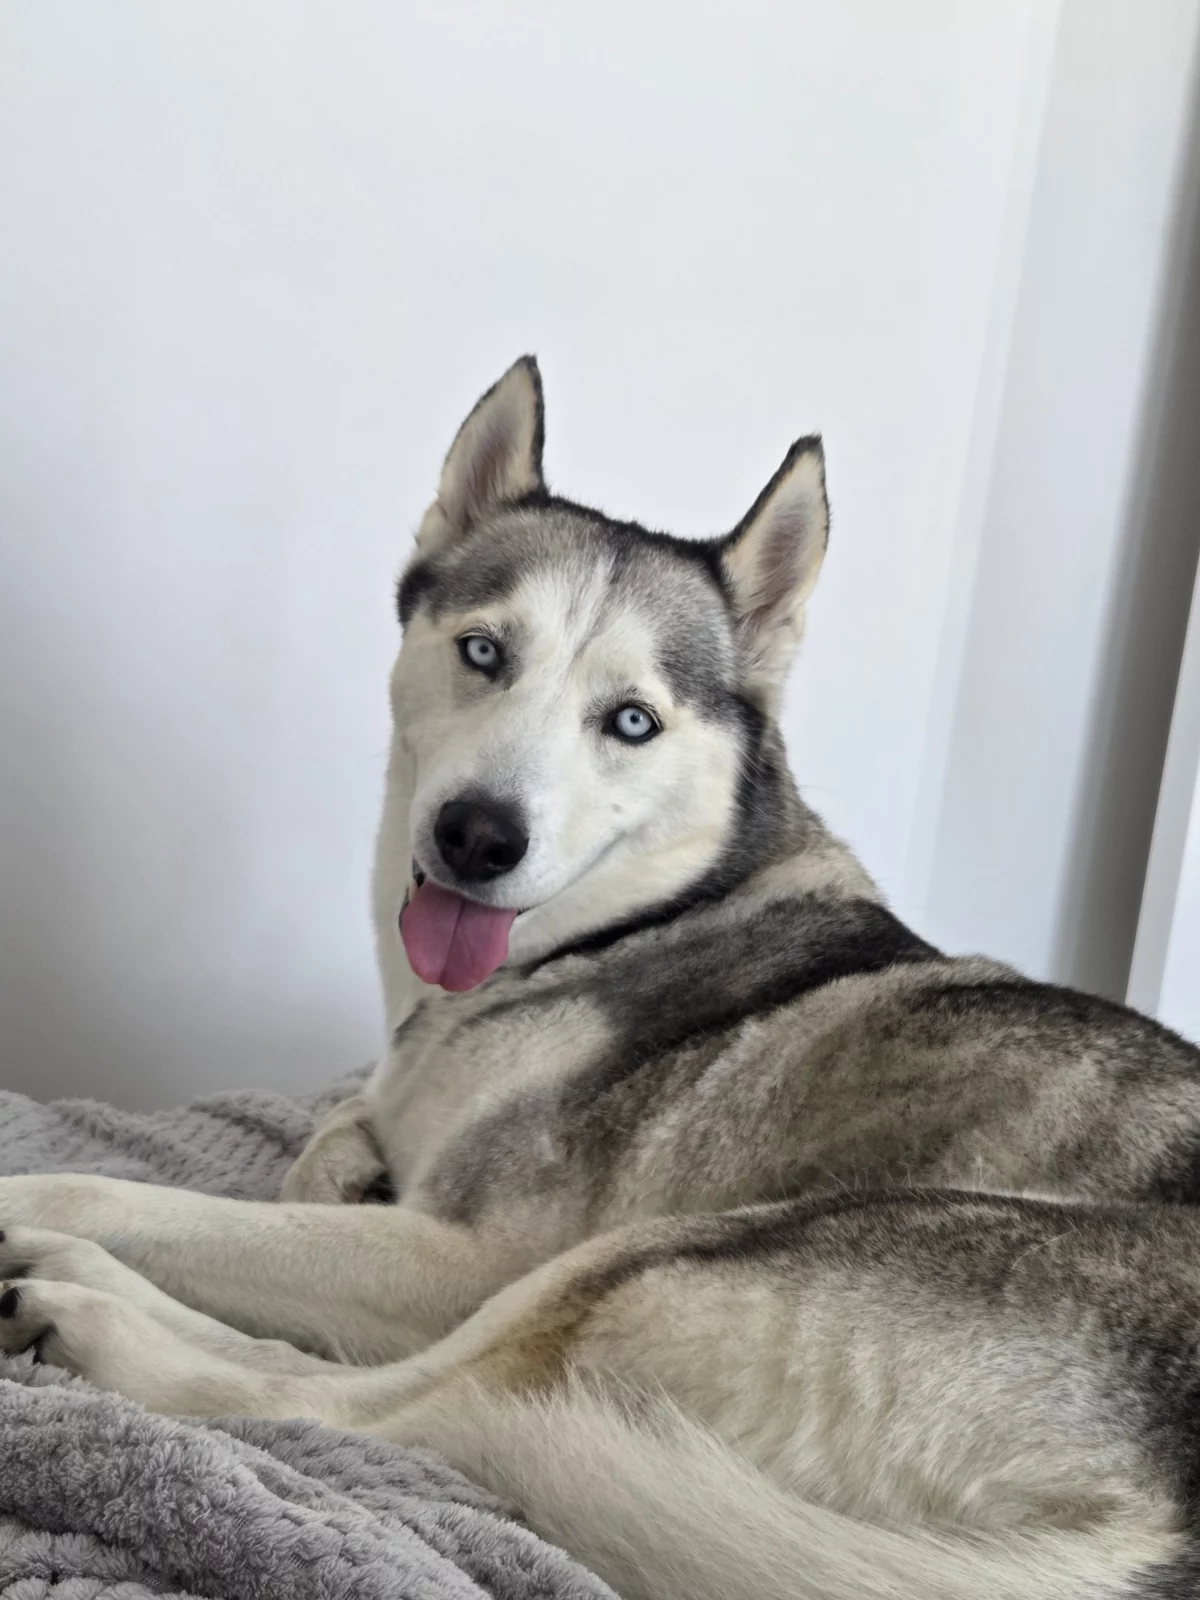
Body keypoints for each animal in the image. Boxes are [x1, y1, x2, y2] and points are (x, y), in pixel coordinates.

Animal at [5, 356, 1200, 1598]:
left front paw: (50, 1210)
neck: (626, 922)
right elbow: (323, 1145)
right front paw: (343, 1164)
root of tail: (1166, 1539)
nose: (479, 836)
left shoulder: (463, 1256)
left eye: (631, 720)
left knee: (387, 1408)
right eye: (485, 651)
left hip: (658, 1256)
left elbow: (138, 1201)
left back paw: (84, 1305)